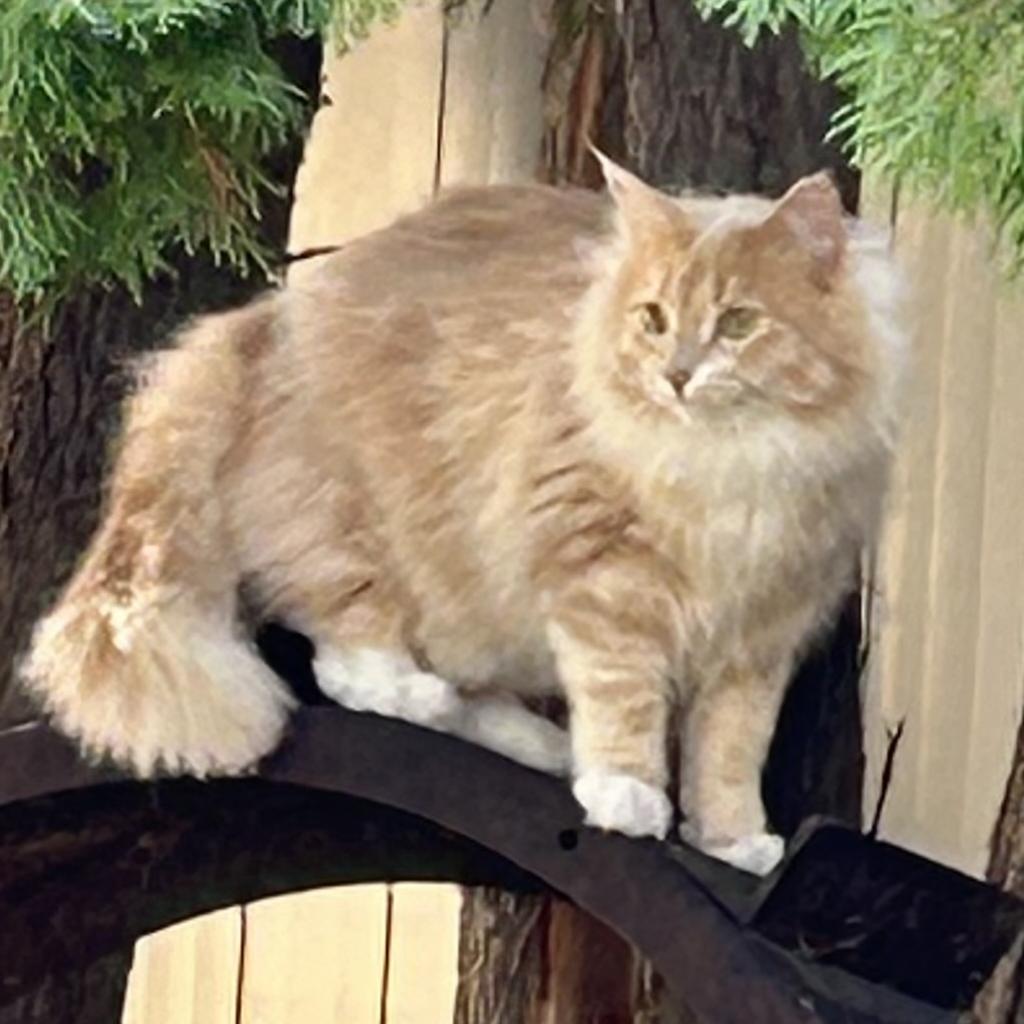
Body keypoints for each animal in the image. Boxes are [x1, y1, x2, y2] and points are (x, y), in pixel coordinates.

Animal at [19, 155, 905, 876]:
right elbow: (623, 698)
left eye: (740, 323)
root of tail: (262, 321)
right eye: (653, 319)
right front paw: (626, 793)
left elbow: (729, 752)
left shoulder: (763, 632)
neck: (737, 465)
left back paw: (539, 745)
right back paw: (424, 699)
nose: (678, 376)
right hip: (364, 536)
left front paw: (730, 840)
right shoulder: (602, 577)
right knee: (348, 658)